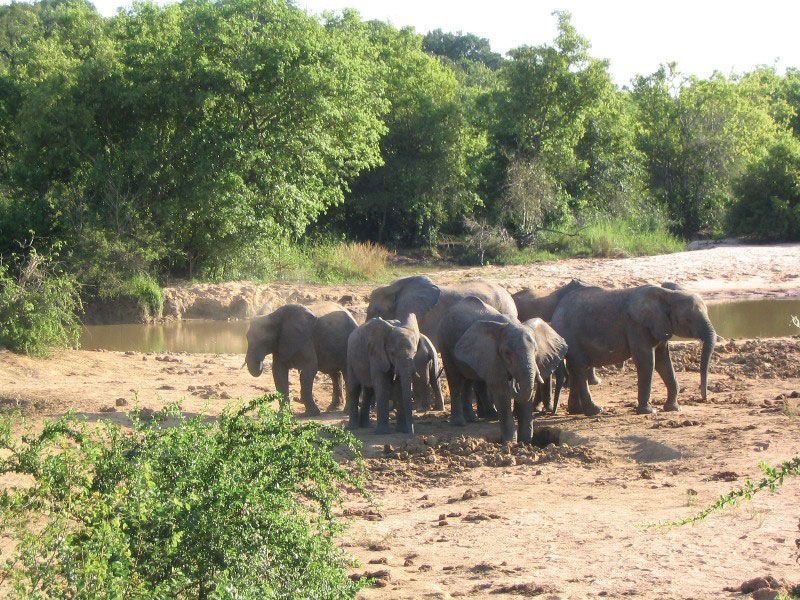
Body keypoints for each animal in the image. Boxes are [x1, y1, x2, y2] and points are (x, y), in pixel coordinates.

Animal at [439, 297, 567, 443]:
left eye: (536, 350)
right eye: (507, 353)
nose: (514, 382)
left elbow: (527, 392)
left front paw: (526, 441)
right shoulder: (492, 356)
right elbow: (501, 390)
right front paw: (510, 442)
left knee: (468, 380)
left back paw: (473, 419)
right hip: (444, 342)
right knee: (455, 380)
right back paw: (459, 423)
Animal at [550, 284, 716, 416]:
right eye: (688, 320)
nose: (704, 398)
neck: (668, 294)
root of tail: (556, 313)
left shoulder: (660, 326)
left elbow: (663, 361)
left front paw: (673, 409)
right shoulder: (636, 325)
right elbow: (647, 361)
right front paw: (648, 411)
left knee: (574, 369)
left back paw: (576, 411)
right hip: (571, 336)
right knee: (580, 368)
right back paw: (595, 411)